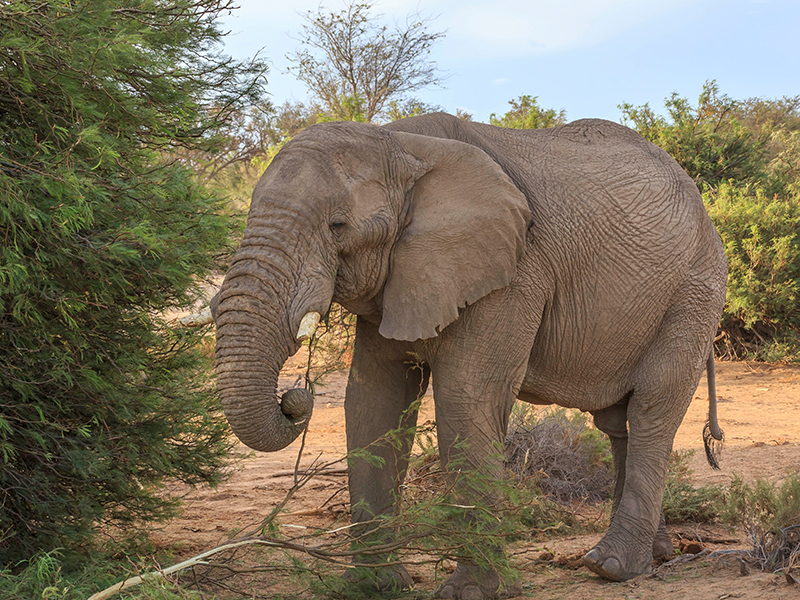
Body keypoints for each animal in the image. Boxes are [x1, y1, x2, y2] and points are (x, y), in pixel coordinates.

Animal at [211, 111, 724, 596]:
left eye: (338, 225)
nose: (294, 399)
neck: (400, 143)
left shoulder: (514, 270)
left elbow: (465, 396)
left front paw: (470, 591)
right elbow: (373, 401)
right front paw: (373, 587)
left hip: (694, 293)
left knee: (653, 408)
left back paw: (611, 568)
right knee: (618, 423)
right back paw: (652, 557)